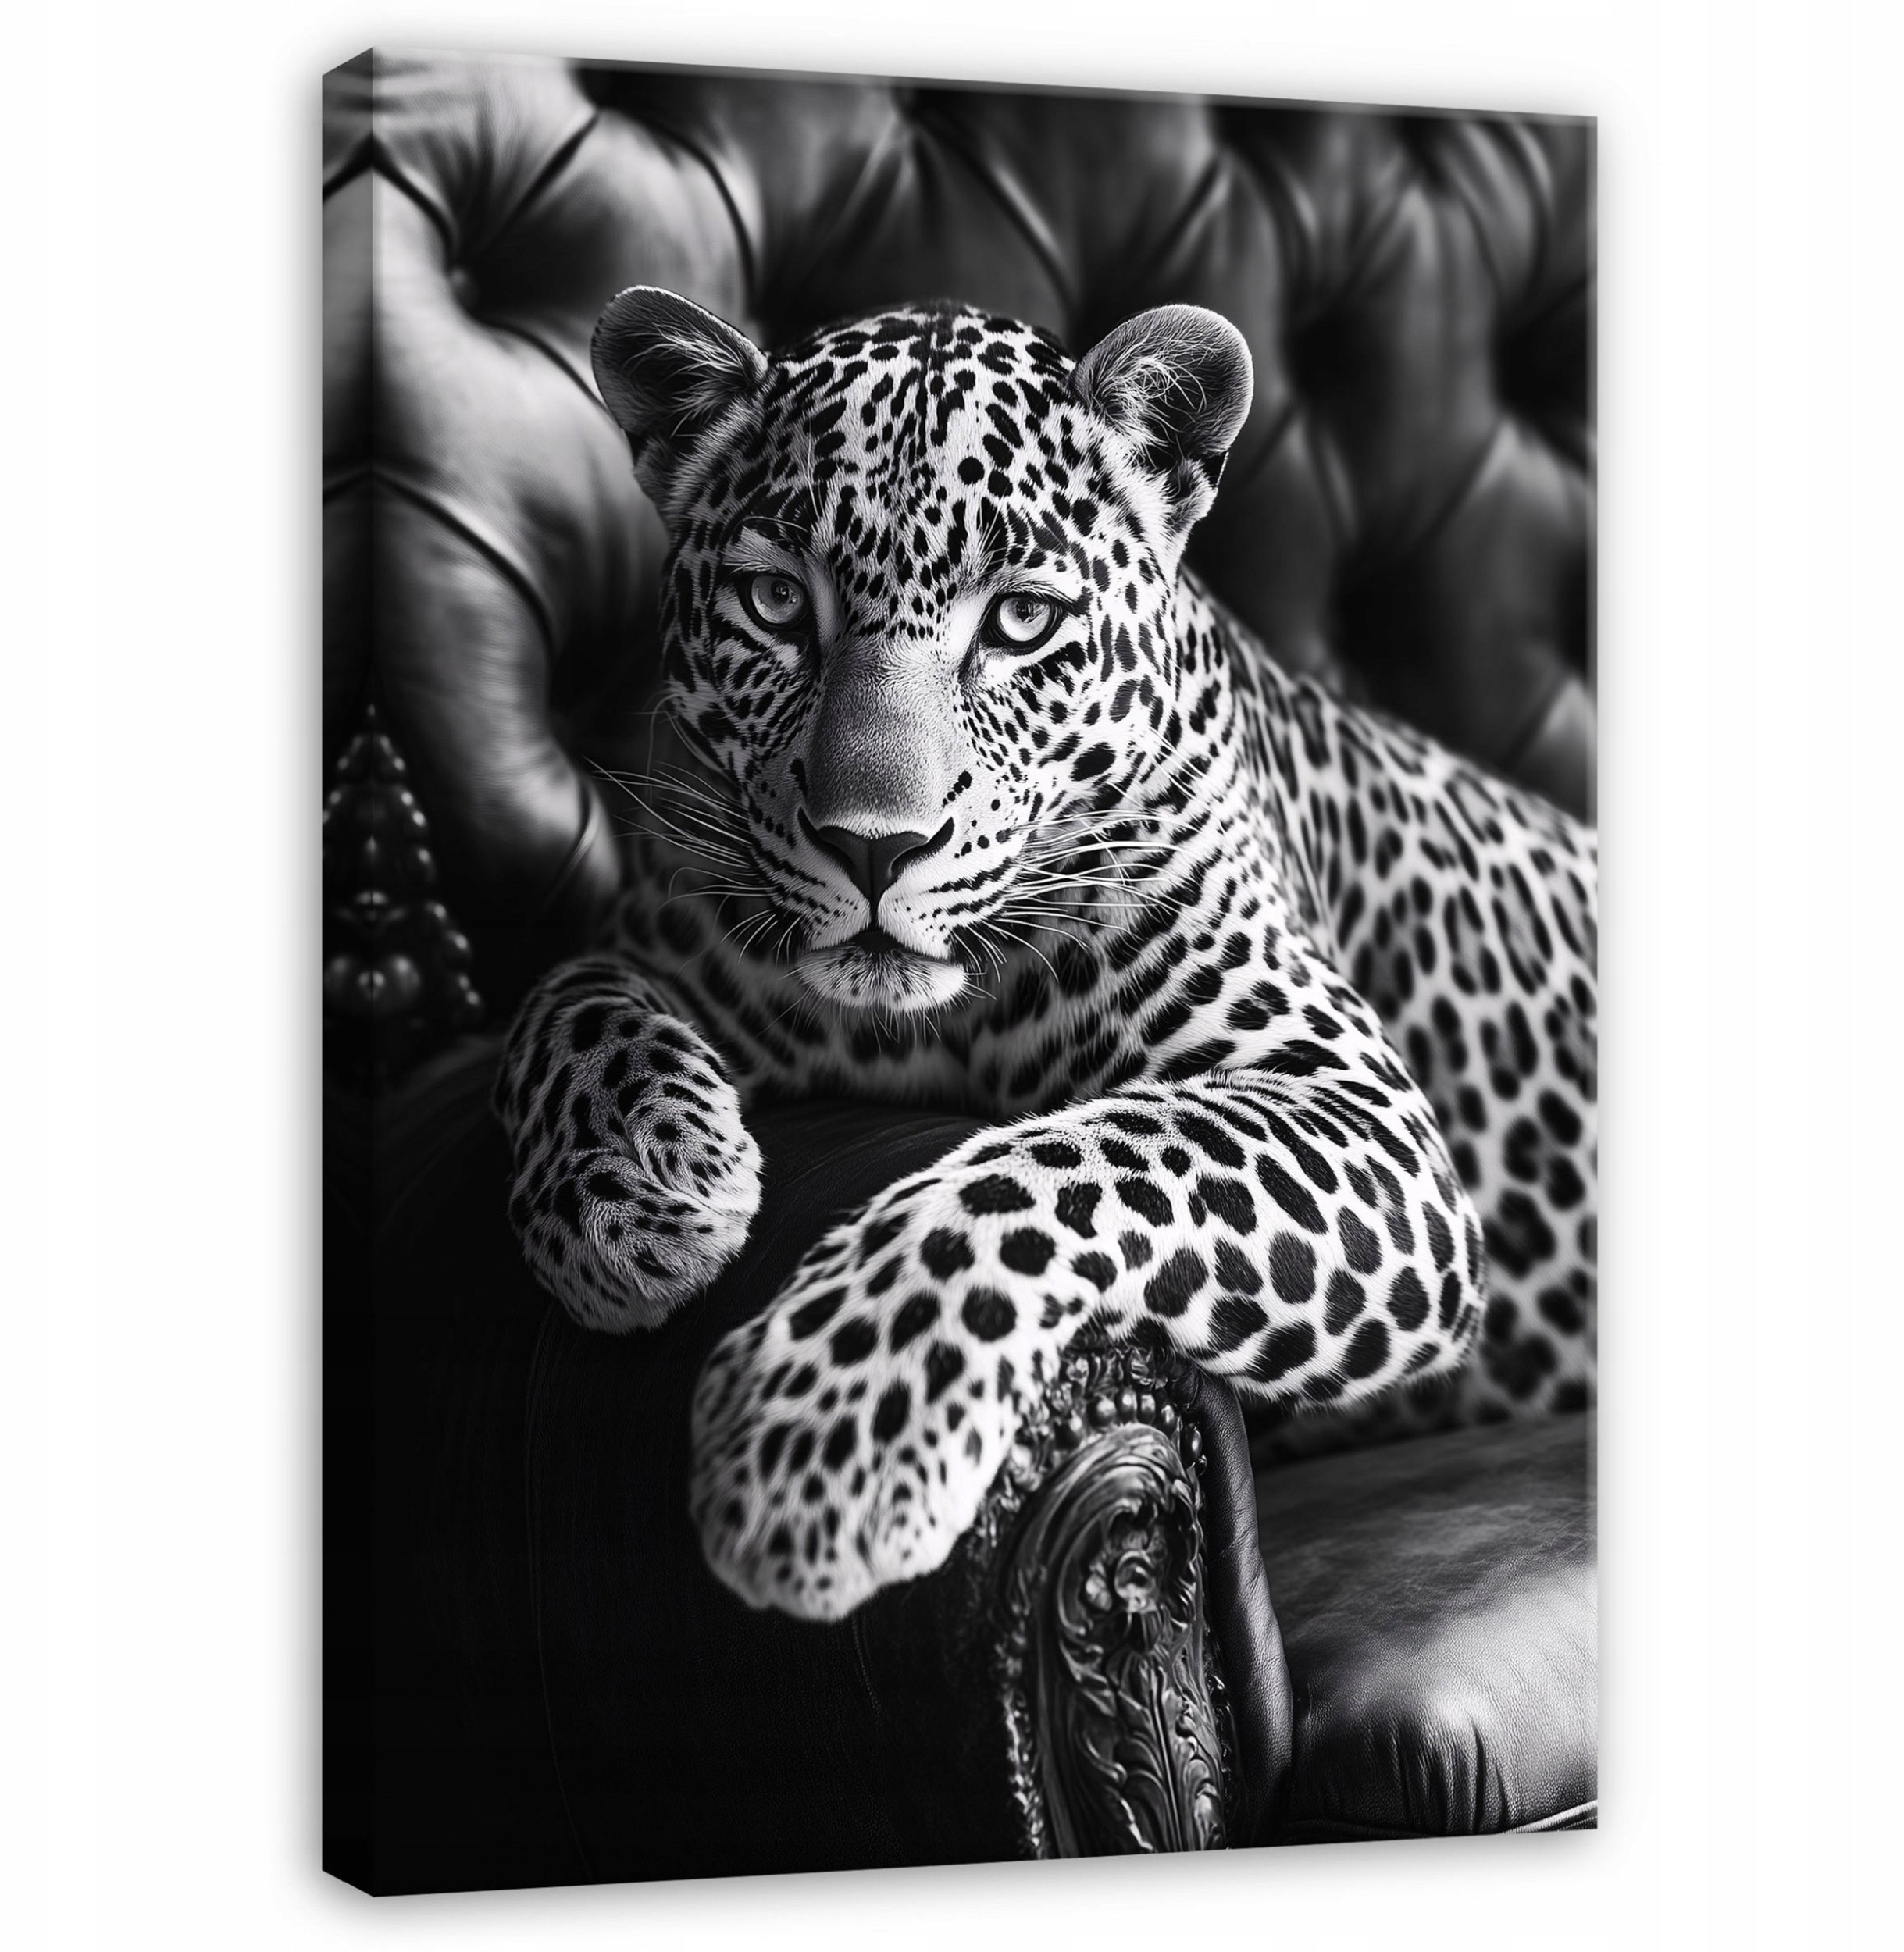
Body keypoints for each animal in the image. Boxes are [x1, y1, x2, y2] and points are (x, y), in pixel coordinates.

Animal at [493, 287, 1598, 1624]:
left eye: (1021, 621)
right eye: (775, 607)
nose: (874, 848)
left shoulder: (1355, 1109)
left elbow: (1052, 1169)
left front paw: (821, 1444)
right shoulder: (663, 929)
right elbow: (561, 999)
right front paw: (635, 1187)